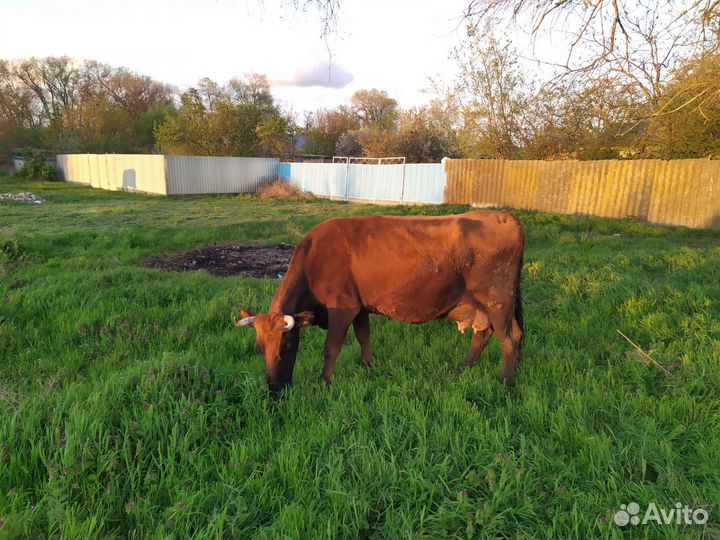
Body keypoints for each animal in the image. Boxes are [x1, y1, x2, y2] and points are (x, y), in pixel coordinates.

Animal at [234, 210, 525, 393]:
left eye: (286, 347)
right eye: (259, 348)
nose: (274, 390)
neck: (314, 258)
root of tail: (505, 216)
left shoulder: (343, 308)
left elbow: (331, 348)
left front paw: (324, 383)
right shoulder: (360, 307)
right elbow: (364, 337)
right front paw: (369, 367)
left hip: (497, 300)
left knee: (508, 340)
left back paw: (507, 384)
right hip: (490, 305)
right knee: (491, 334)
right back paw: (462, 370)